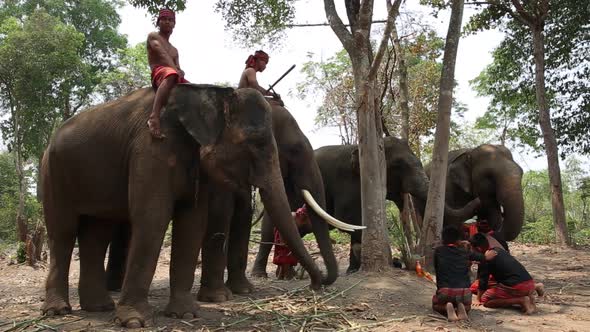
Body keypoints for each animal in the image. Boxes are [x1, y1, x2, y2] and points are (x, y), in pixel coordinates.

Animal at [40, 84, 328, 328]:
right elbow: (153, 218)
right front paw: (134, 322)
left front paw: (186, 314)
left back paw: (99, 307)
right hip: (53, 173)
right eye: (255, 143)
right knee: (63, 233)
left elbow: (192, 223)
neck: (210, 89)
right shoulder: (152, 148)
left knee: (96, 233)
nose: (316, 285)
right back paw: (58, 311)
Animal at [250, 136, 480, 274]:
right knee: (270, 229)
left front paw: (353, 269)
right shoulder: (351, 183)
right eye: (398, 166)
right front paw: (354, 270)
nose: (478, 199)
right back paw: (261, 274)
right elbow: (352, 219)